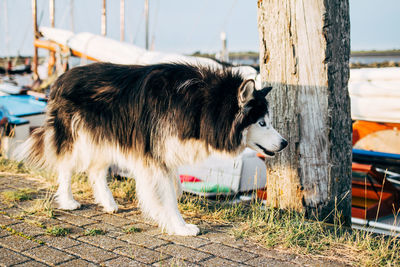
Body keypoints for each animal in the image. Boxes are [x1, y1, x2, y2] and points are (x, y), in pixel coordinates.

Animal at [17, 62, 288, 237]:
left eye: (268, 121)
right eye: (262, 123)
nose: (284, 143)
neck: (202, 105)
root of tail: (61, 77)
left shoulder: (166, 153)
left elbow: (175, 187)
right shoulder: (155, 155)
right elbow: (167, 195)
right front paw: (180, 226)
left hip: (106, 138)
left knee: (95, 171)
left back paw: (108, 203)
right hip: (79, 139)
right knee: (66, 167)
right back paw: (68, 200)